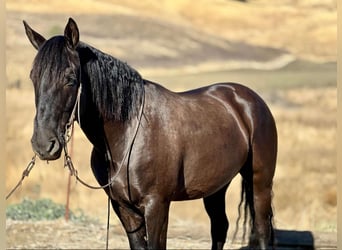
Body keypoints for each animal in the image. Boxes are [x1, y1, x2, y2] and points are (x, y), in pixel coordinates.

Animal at [24, 18, 276, 250]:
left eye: (70, 79)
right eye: (33, 77)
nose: (44, 145)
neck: (127, 135)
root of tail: (248, 99)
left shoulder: (156, 205)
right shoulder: (123, 207)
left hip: (260, 183)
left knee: (262, 229)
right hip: (216, 187)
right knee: (220, 227)